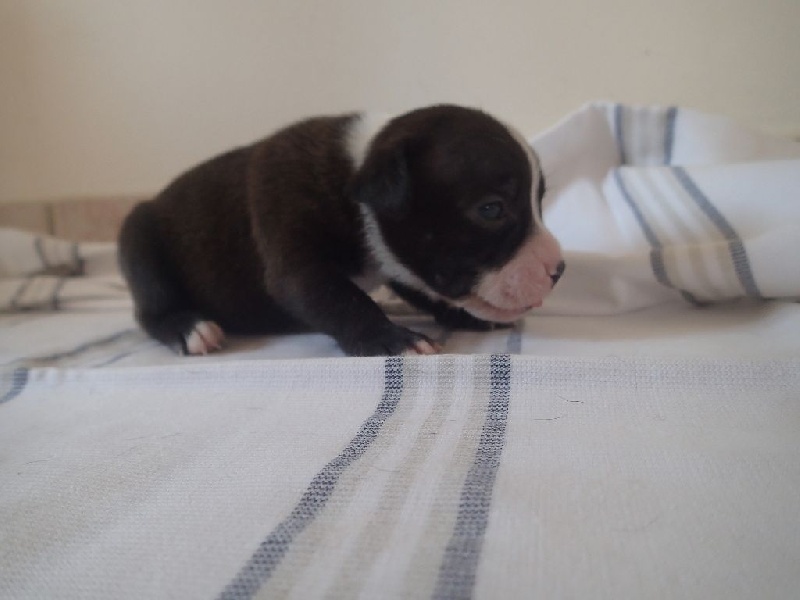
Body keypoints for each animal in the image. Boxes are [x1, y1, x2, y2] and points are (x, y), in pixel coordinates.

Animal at [118, 104, 565, 356]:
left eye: (539, 200)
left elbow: (420, 289)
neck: (355, 173)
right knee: (152, 306)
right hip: (139, 239)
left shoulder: (397, 260)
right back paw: (188, 327)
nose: (559, 270)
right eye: (491, 209)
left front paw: (463, 317)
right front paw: (392, 337)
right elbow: (342, 300)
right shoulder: (297, 260)